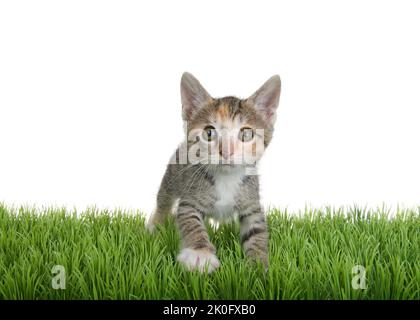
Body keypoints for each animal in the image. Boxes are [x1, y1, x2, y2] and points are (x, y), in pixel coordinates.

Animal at [146, 72, 280, 272]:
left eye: (246, 134)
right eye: (209, 133)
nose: (227, 151)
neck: (226, 178)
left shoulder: (251, 202)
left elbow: (257, 231)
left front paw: (257, 265)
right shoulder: (190, 198)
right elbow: (191, 221)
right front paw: (200, 254)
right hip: (172, 176)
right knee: (164, 201)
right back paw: (155, 225)